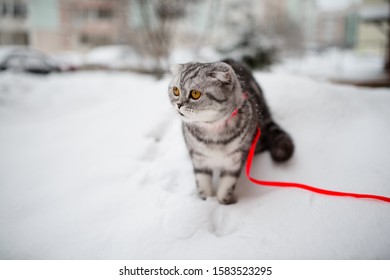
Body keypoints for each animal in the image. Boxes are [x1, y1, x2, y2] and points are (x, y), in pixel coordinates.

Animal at [168, 58, 292, 203]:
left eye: (195, 94)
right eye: (175, 91)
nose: (178, 104)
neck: (213, 130)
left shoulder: (235, 160)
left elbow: (226, 187)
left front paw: (223, 202)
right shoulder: (199, 159)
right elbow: (203, 184)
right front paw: (206, 200)